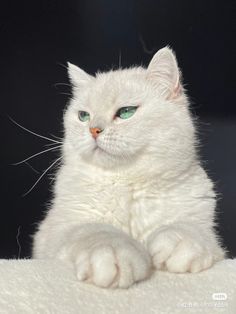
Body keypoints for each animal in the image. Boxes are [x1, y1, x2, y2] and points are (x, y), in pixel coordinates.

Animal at [31, 45, 225, 288]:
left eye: (126, 112)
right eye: (83, 116)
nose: (93, 130)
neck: (127, 183)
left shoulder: (209, 234)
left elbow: (192, 229)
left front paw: (178, 242)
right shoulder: (59, 230)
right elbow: (95, 231)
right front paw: (113, 255)